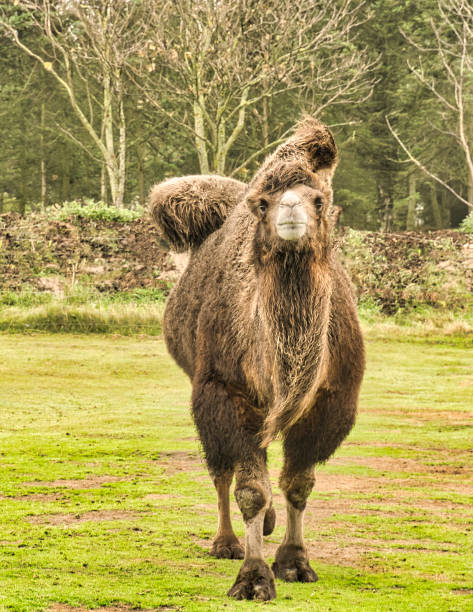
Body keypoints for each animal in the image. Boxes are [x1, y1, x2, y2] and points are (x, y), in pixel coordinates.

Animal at [149, 117, 364, 600]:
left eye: (319, 199)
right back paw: (227, 542)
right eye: (262, 203)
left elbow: (299, 484)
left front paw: (295, 561)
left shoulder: (331, 401)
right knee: (221, 470)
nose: (291, 212)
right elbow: (248, 488)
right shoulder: (225, 391)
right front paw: (252, 575)